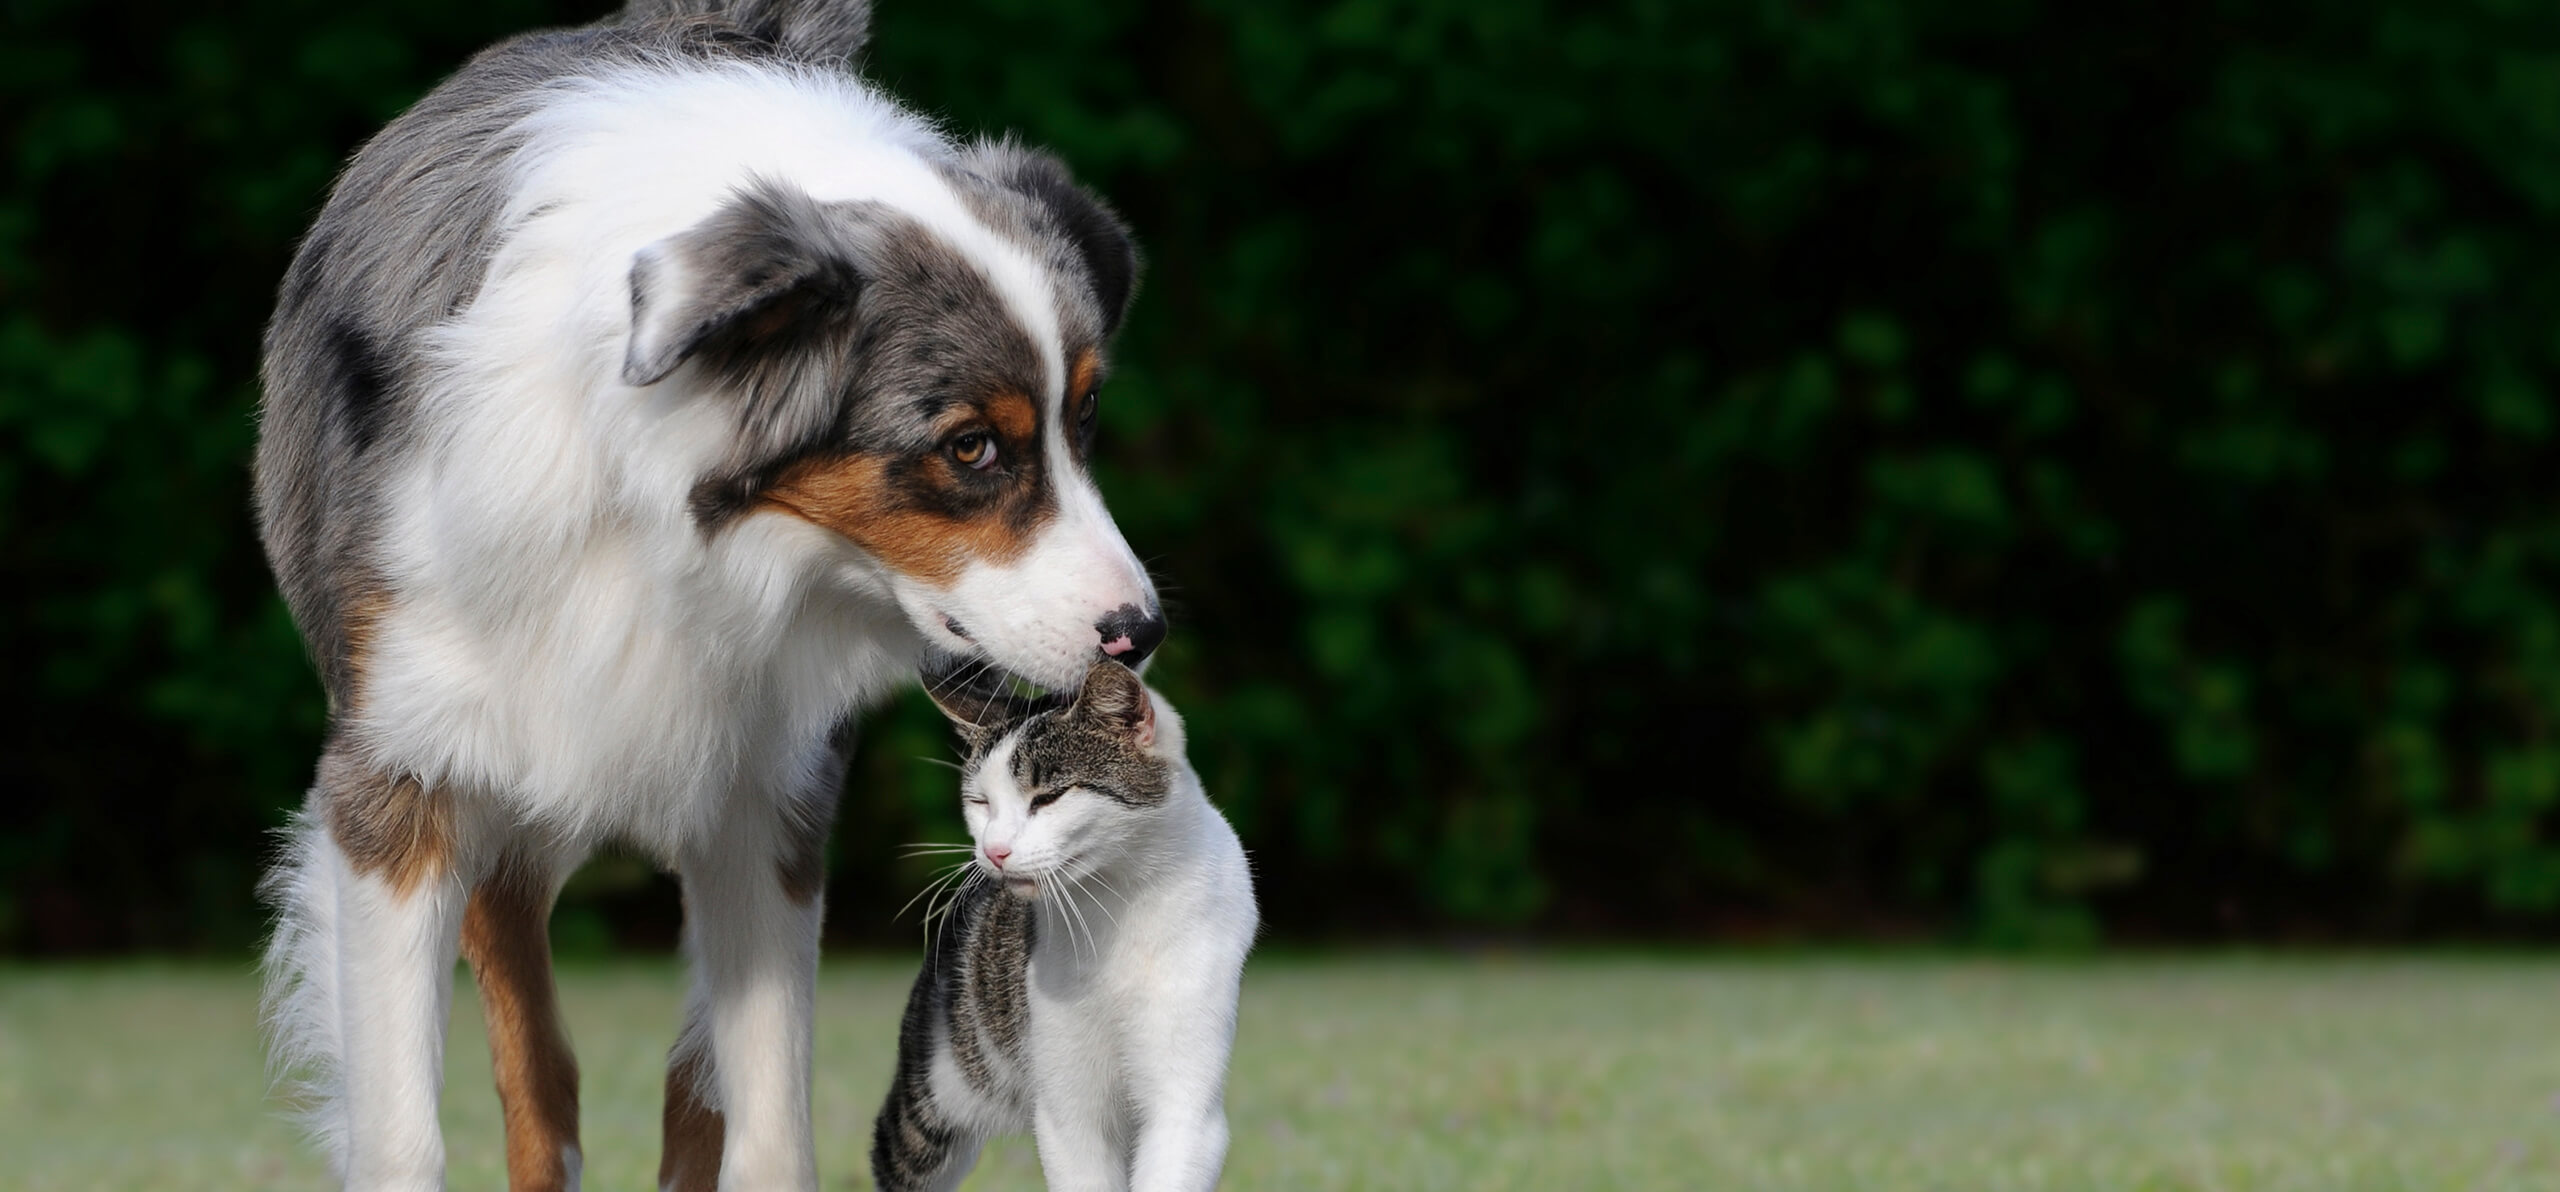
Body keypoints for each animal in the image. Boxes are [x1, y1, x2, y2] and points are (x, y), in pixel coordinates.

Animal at [252, 4, 1162, 1186]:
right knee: (537, 1054)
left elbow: (764, 1119)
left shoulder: (769, 795)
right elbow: (407, 1126)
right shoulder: (404, 771)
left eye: (1083, 417)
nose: (1141, 632)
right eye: (969, 447)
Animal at [875, 659, 1264, 1192]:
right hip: (934, 1092)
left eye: (1049, 797)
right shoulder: (1069, 1111)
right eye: (980, 802)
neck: (1122, 904)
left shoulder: (1185, 1102)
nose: (993, 850)